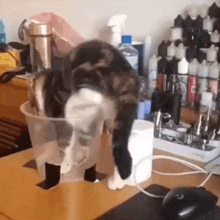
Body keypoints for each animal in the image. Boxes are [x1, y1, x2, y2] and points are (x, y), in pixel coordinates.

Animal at [27, 39, 140, 189]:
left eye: (33, 104)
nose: (35, 111)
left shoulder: (63, 121)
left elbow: (65, 145)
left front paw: (65, 166)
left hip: (81, 98)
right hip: (119, 120)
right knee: (119, 145)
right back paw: (117, 181)